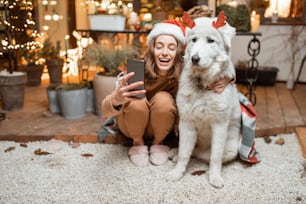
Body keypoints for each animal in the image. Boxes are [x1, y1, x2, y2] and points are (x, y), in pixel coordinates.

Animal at [167, 12, 241, 188]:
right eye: (193, 40)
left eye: (210, 40)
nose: (194, 58)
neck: (202, 84)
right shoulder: (186, 125)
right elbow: (183, 154)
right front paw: (177, 173)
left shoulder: (219, 126)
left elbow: (215, 157)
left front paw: (215, 177)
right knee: (189, 151)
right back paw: (174, 153)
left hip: (231, 150)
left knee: (204, 155)